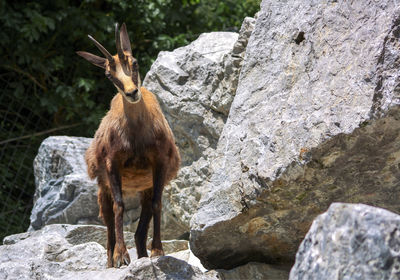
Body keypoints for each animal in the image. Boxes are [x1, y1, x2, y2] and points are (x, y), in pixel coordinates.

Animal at [76, 23, 180, 268]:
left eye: (135, 62)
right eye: (108, 73)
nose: (132, 93)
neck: (136, 137)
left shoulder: (160, 162)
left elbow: (157, 203)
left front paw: (158, 251)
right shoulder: (112, 162)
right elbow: (119, 206)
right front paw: (121, 256)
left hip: (146, 186)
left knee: (140, 230)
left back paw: (142, 254)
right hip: (102, 187)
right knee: (109, 221)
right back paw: (111, 259)